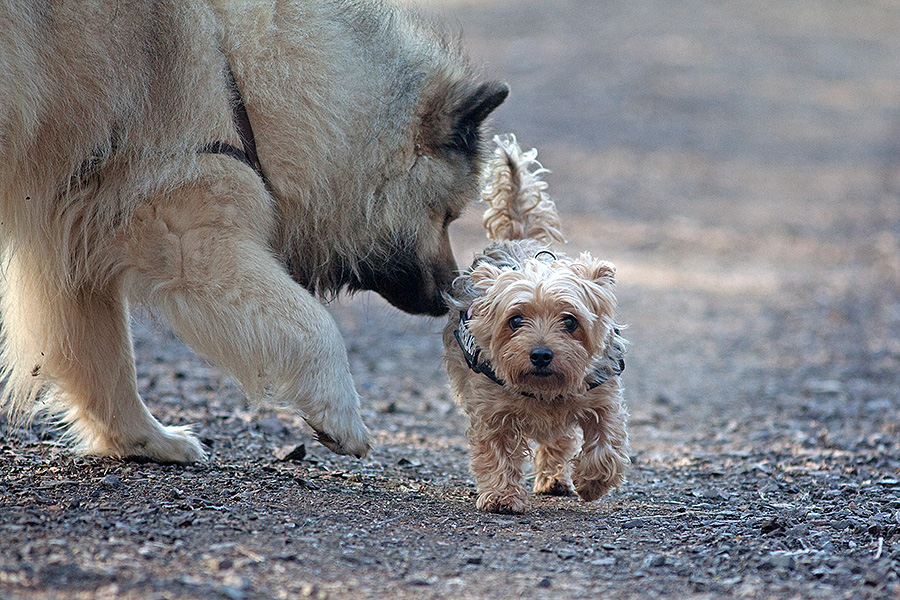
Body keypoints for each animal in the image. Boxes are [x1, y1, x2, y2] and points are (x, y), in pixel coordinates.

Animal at [442, 137, 624, 516]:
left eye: (570, 321)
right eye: (515, 320)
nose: (541, 354)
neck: (544, 391)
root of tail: (518, 239)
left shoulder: (602, 395)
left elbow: (606, 442)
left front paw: (593, 481)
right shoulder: (490, 406)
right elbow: (494, 450)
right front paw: (502, 496)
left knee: (560, 438)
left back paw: (555, 479)